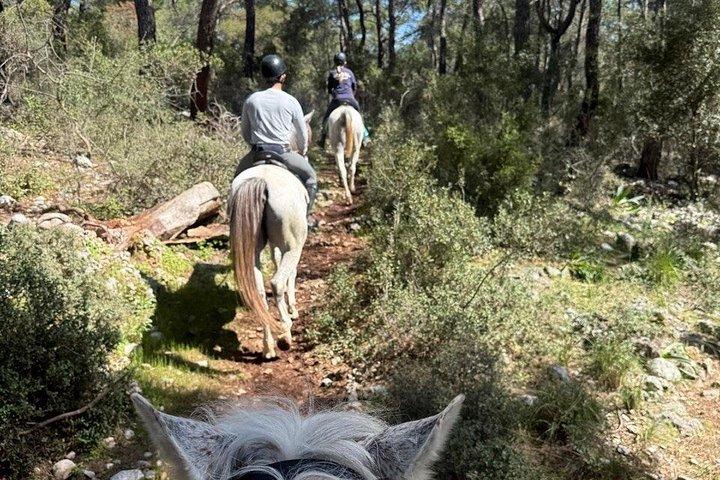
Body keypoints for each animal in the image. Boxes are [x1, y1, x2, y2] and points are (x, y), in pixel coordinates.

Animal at [228, 112, 313, 360]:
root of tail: (263, 181)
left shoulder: (274, 246)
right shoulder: (289, 246)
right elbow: (290, 275)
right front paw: (293, 310)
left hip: (253, 249)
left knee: (259, 292)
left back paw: (268, 348)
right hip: (294, 246)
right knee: (276, 282)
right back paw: (285, 334)